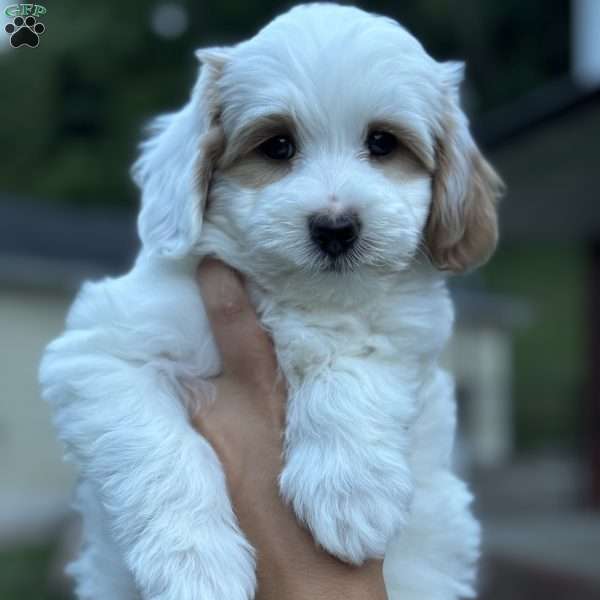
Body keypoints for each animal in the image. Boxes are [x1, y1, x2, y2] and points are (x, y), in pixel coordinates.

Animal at [39, 2, 504, 596]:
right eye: (278, 146)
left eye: (382, 143)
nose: (335, 227)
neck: (292, 292)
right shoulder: (103, 354)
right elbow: (157, 449)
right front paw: (194, 564)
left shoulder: (408, 325)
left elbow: (356, 361)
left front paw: (350, 492)